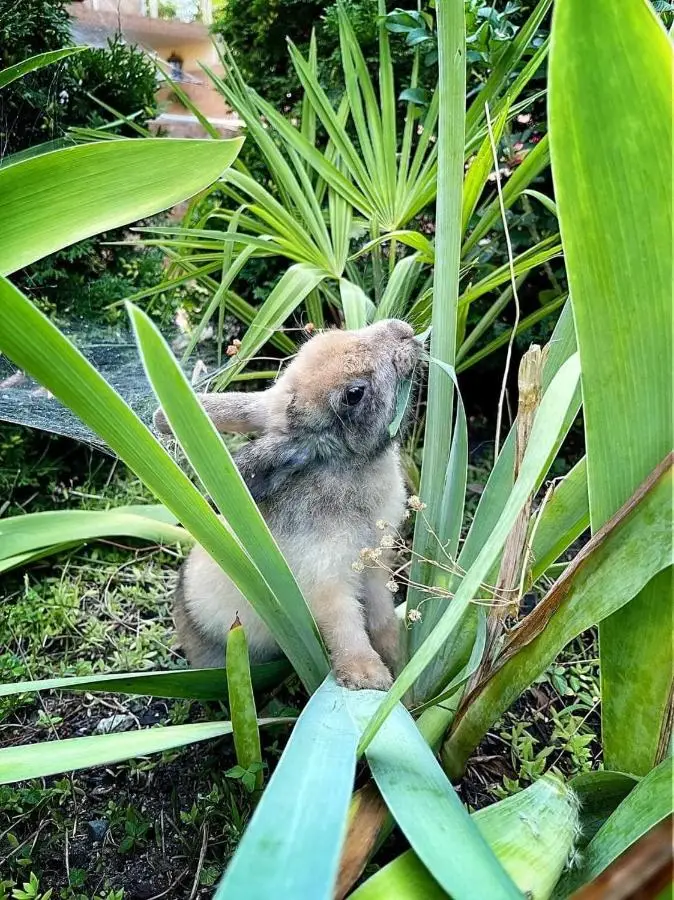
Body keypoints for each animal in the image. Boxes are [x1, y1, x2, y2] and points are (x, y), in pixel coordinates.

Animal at [153, 318, 421, 690]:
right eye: (354, 394)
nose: (402, 331)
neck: (344, 466)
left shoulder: (374, 567)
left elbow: (381, 619)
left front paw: (398, 657)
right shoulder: (325, 582)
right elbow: (345, 628)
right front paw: (368, 678)